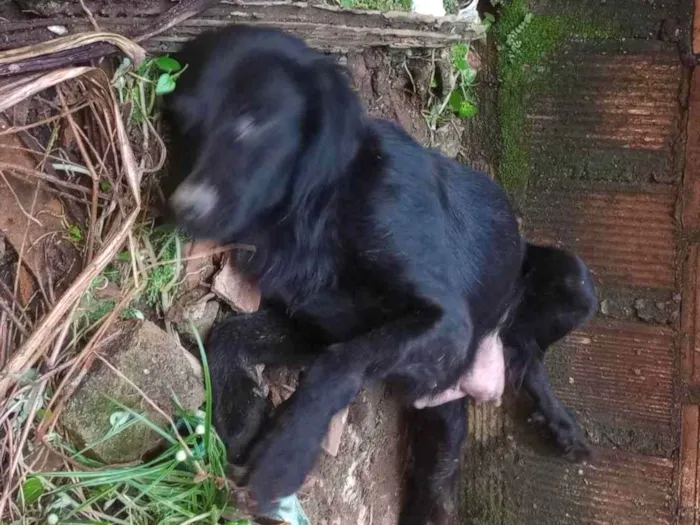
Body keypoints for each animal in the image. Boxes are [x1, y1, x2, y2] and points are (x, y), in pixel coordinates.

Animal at [164, 25, 596, 524]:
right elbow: (231, 332)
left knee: (531, 352)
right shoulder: (319, 325)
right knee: (441, 474)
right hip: (442, 428)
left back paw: (560, 422)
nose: (182, 208)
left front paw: (285, 452)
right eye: (184, 123)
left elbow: (341, 362)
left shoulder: (447, 322)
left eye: (253, 120)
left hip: (574, 279)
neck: (320, 209)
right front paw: (236, 416)